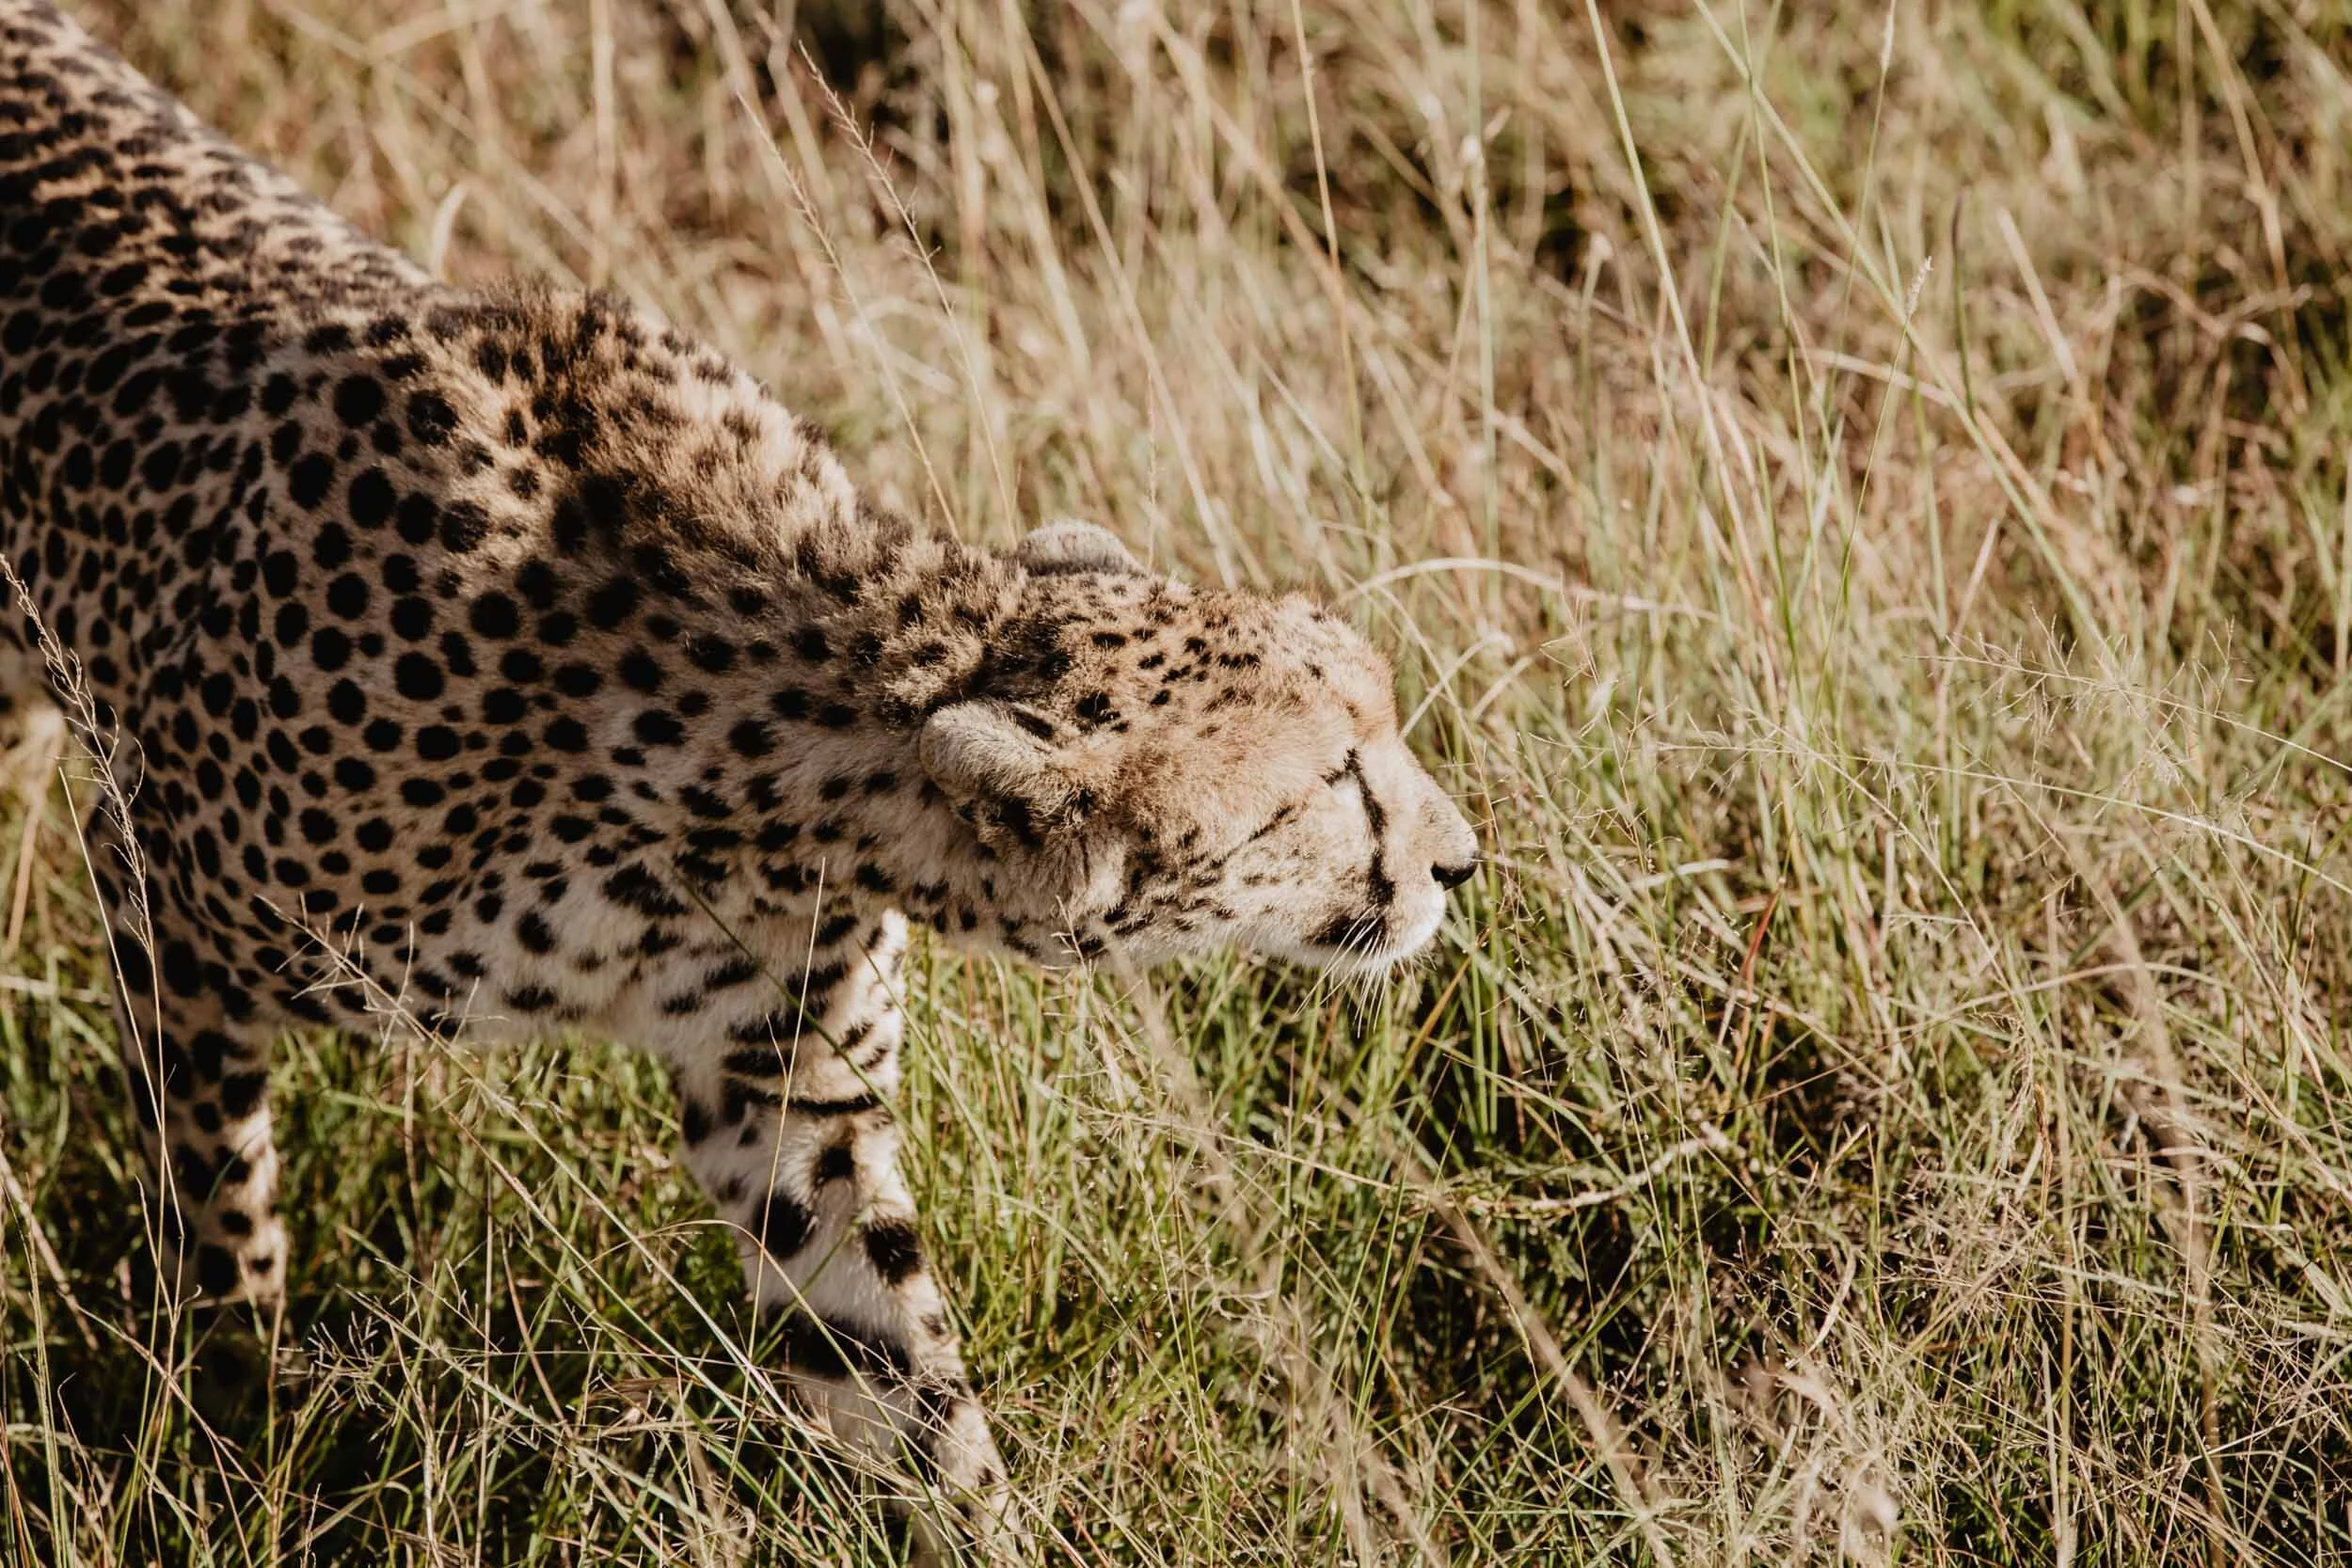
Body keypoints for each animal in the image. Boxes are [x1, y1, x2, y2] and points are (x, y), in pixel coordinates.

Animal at [0, 0, 1480, 1556]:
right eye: (1331, 779)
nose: (1460, 859)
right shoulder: (157, 885)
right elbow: (220, 1214)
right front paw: (227, 1434)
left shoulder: (789, 1099)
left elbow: (897, 1362)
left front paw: (986, 1520)